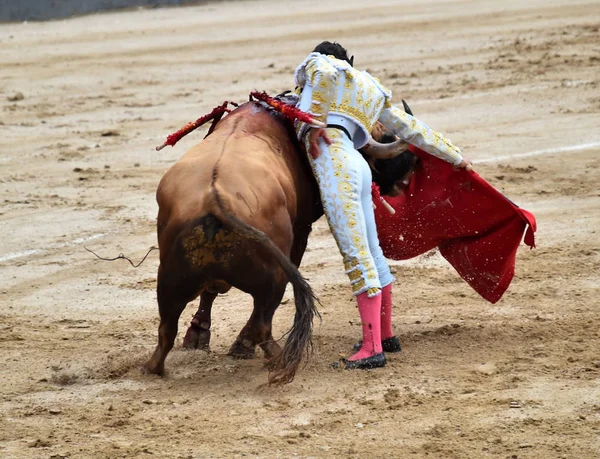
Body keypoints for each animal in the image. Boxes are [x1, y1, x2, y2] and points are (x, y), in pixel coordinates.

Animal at [144, 101, 324, 384]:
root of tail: (215, 200)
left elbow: (207, 294)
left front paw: (198, 336)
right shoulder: (301, 231)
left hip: (170, 278)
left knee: (167, 329)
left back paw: (153, 367)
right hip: (274, 276)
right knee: (262, 324)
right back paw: (272, 358)